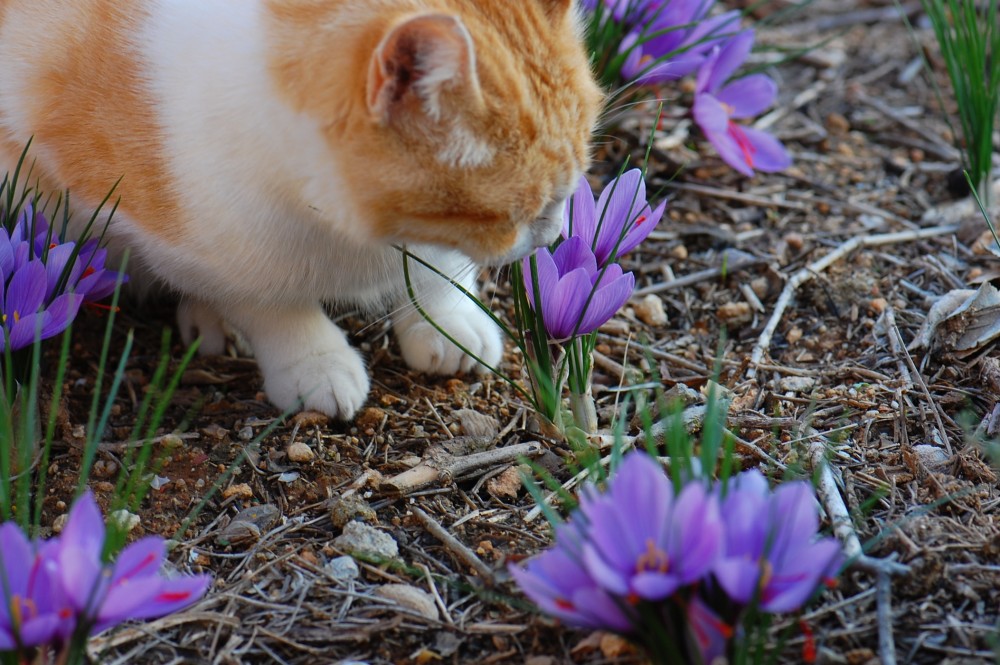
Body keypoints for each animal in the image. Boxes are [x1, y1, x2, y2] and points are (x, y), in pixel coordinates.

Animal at [0, 0, 600, 416]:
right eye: (519, 211)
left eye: (572, 185)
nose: (553, 231)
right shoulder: (186, 229)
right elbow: (268, 302)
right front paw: (316, 361)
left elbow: (440, 264)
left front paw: (449, 319)